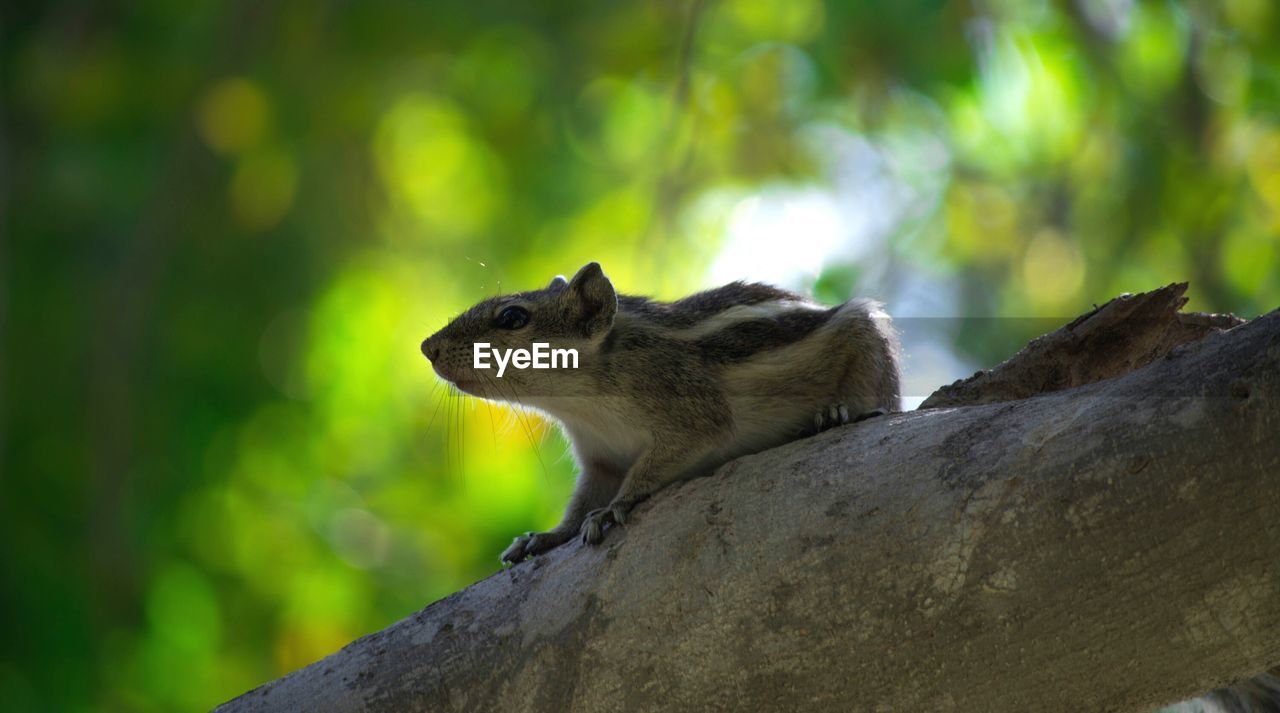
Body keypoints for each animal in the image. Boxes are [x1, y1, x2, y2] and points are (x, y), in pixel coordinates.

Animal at [422, 261, 901, 560]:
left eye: (512, 317)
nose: (428, 347)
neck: (581, 406)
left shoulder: (689, 408)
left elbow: (667, 456)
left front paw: (616, 507)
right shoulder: (600, 458)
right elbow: (585, 498)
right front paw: (544, 537)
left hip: (864, 332)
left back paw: (837, 414)